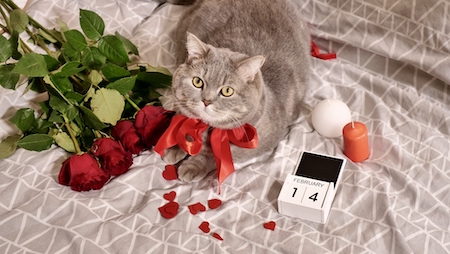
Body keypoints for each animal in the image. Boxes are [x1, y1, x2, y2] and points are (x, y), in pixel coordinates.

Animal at [158, 0, 310, 182]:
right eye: (197, 81)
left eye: (227, 91)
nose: (206, 100)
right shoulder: (180, 103)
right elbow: (182, 122)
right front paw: (176, 147)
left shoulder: (251, 143)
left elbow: (215, 154)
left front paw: (193, 166)